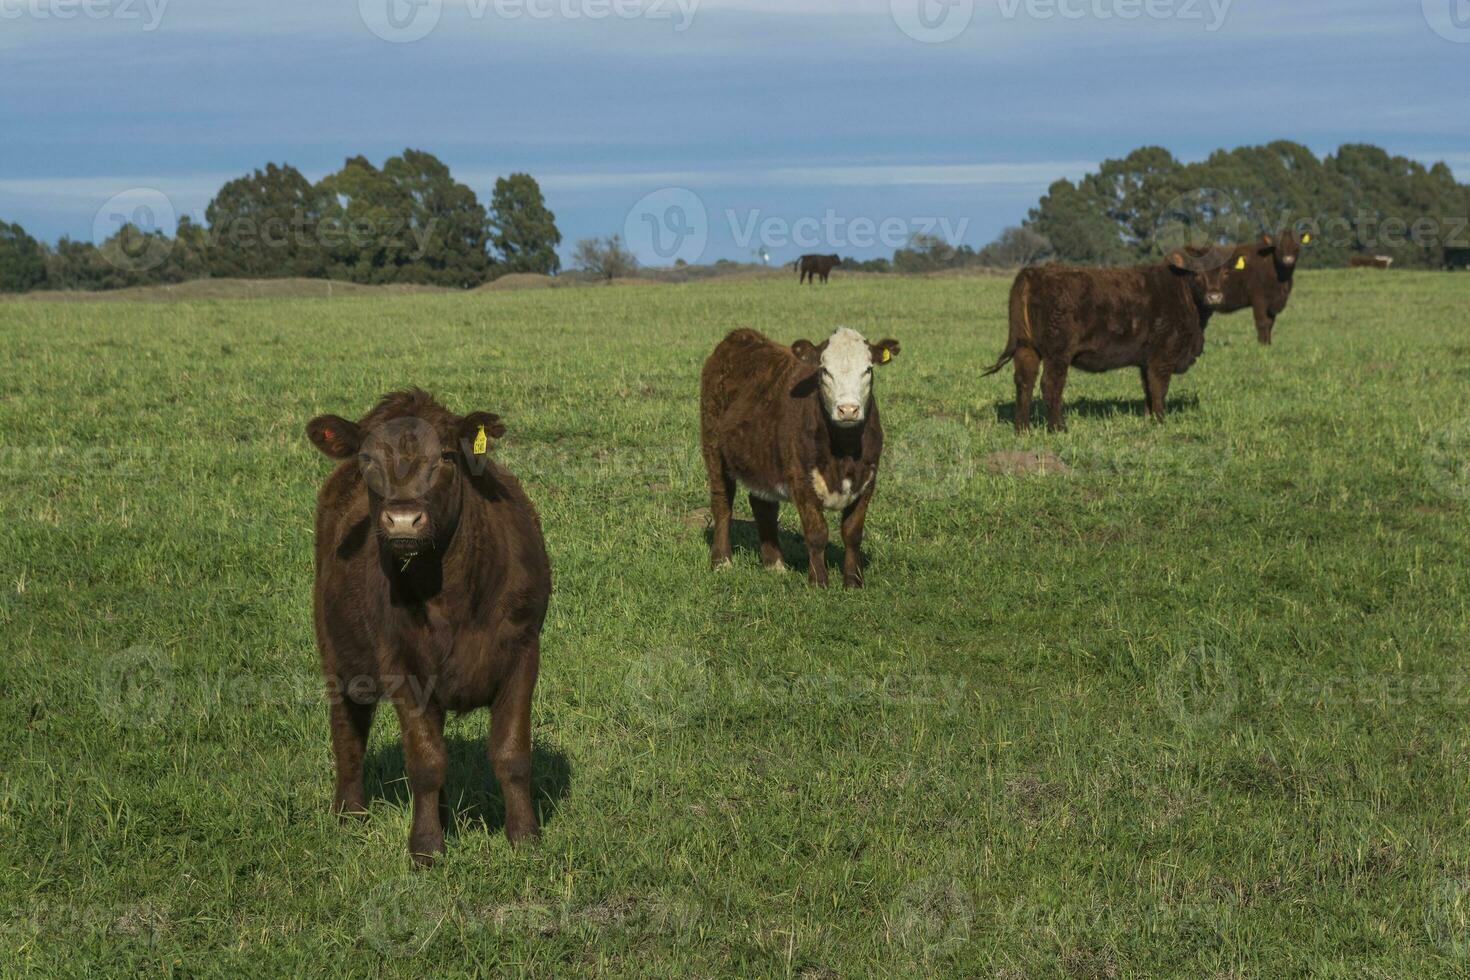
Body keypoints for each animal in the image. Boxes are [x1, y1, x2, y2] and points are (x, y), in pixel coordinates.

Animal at [304, 390, 552, 863]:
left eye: (447, 456)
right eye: (367, 458)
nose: (403, 520)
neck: (451, 595)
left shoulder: (523, 651)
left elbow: (512, 754)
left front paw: (525, 837)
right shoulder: (402, 664)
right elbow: (425, 762)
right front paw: (425, 849)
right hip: (337, 649)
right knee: (348, 725)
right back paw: (350, 813)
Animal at [696, 329, 893, 590]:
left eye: (868, 369)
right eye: (824, 370)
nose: (848, 409)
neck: (844, 452)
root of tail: (738, 336)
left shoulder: (868, 479)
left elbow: (852, 533)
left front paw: (853, 582)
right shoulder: (801, 479)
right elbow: (817, 533)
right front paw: (818, 582)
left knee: (763, 505)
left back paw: (775, 564)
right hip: (713, 448)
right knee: (722, 503)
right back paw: (721, 561)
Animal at [987, 251, 1228, 431]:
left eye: (1224, 272)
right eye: (1197, 274)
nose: (1214, 296)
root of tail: (1034, 272)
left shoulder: (1146, 361)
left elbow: (1148, 389)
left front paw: (1149, 418)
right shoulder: (1163, 357)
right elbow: (1159, 388)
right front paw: (1160, 421)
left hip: (1026, 348)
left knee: (1024, 382)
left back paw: (1022, 429)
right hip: (1057, 353)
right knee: (1050, 384)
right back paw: (1058, 427)